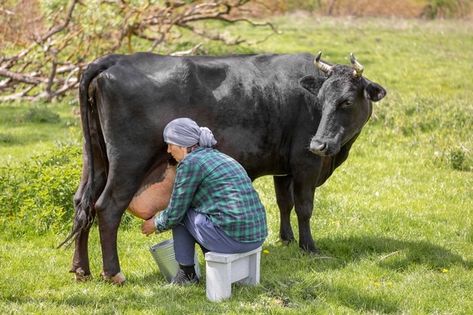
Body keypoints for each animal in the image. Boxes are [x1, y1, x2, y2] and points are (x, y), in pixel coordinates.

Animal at [64, 51, 386, 284]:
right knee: (107, 208)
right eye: (321, 100)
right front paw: (309, 247)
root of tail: (116, 58)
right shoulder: (306, 162)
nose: (319, 143)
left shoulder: (284, 167)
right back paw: (113, 273)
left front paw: (286, 240)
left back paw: (82, 270)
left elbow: (284, 203)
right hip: (128, 163)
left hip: (96, 160)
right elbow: (304, 207)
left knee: (83, 204)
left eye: (346, 101)